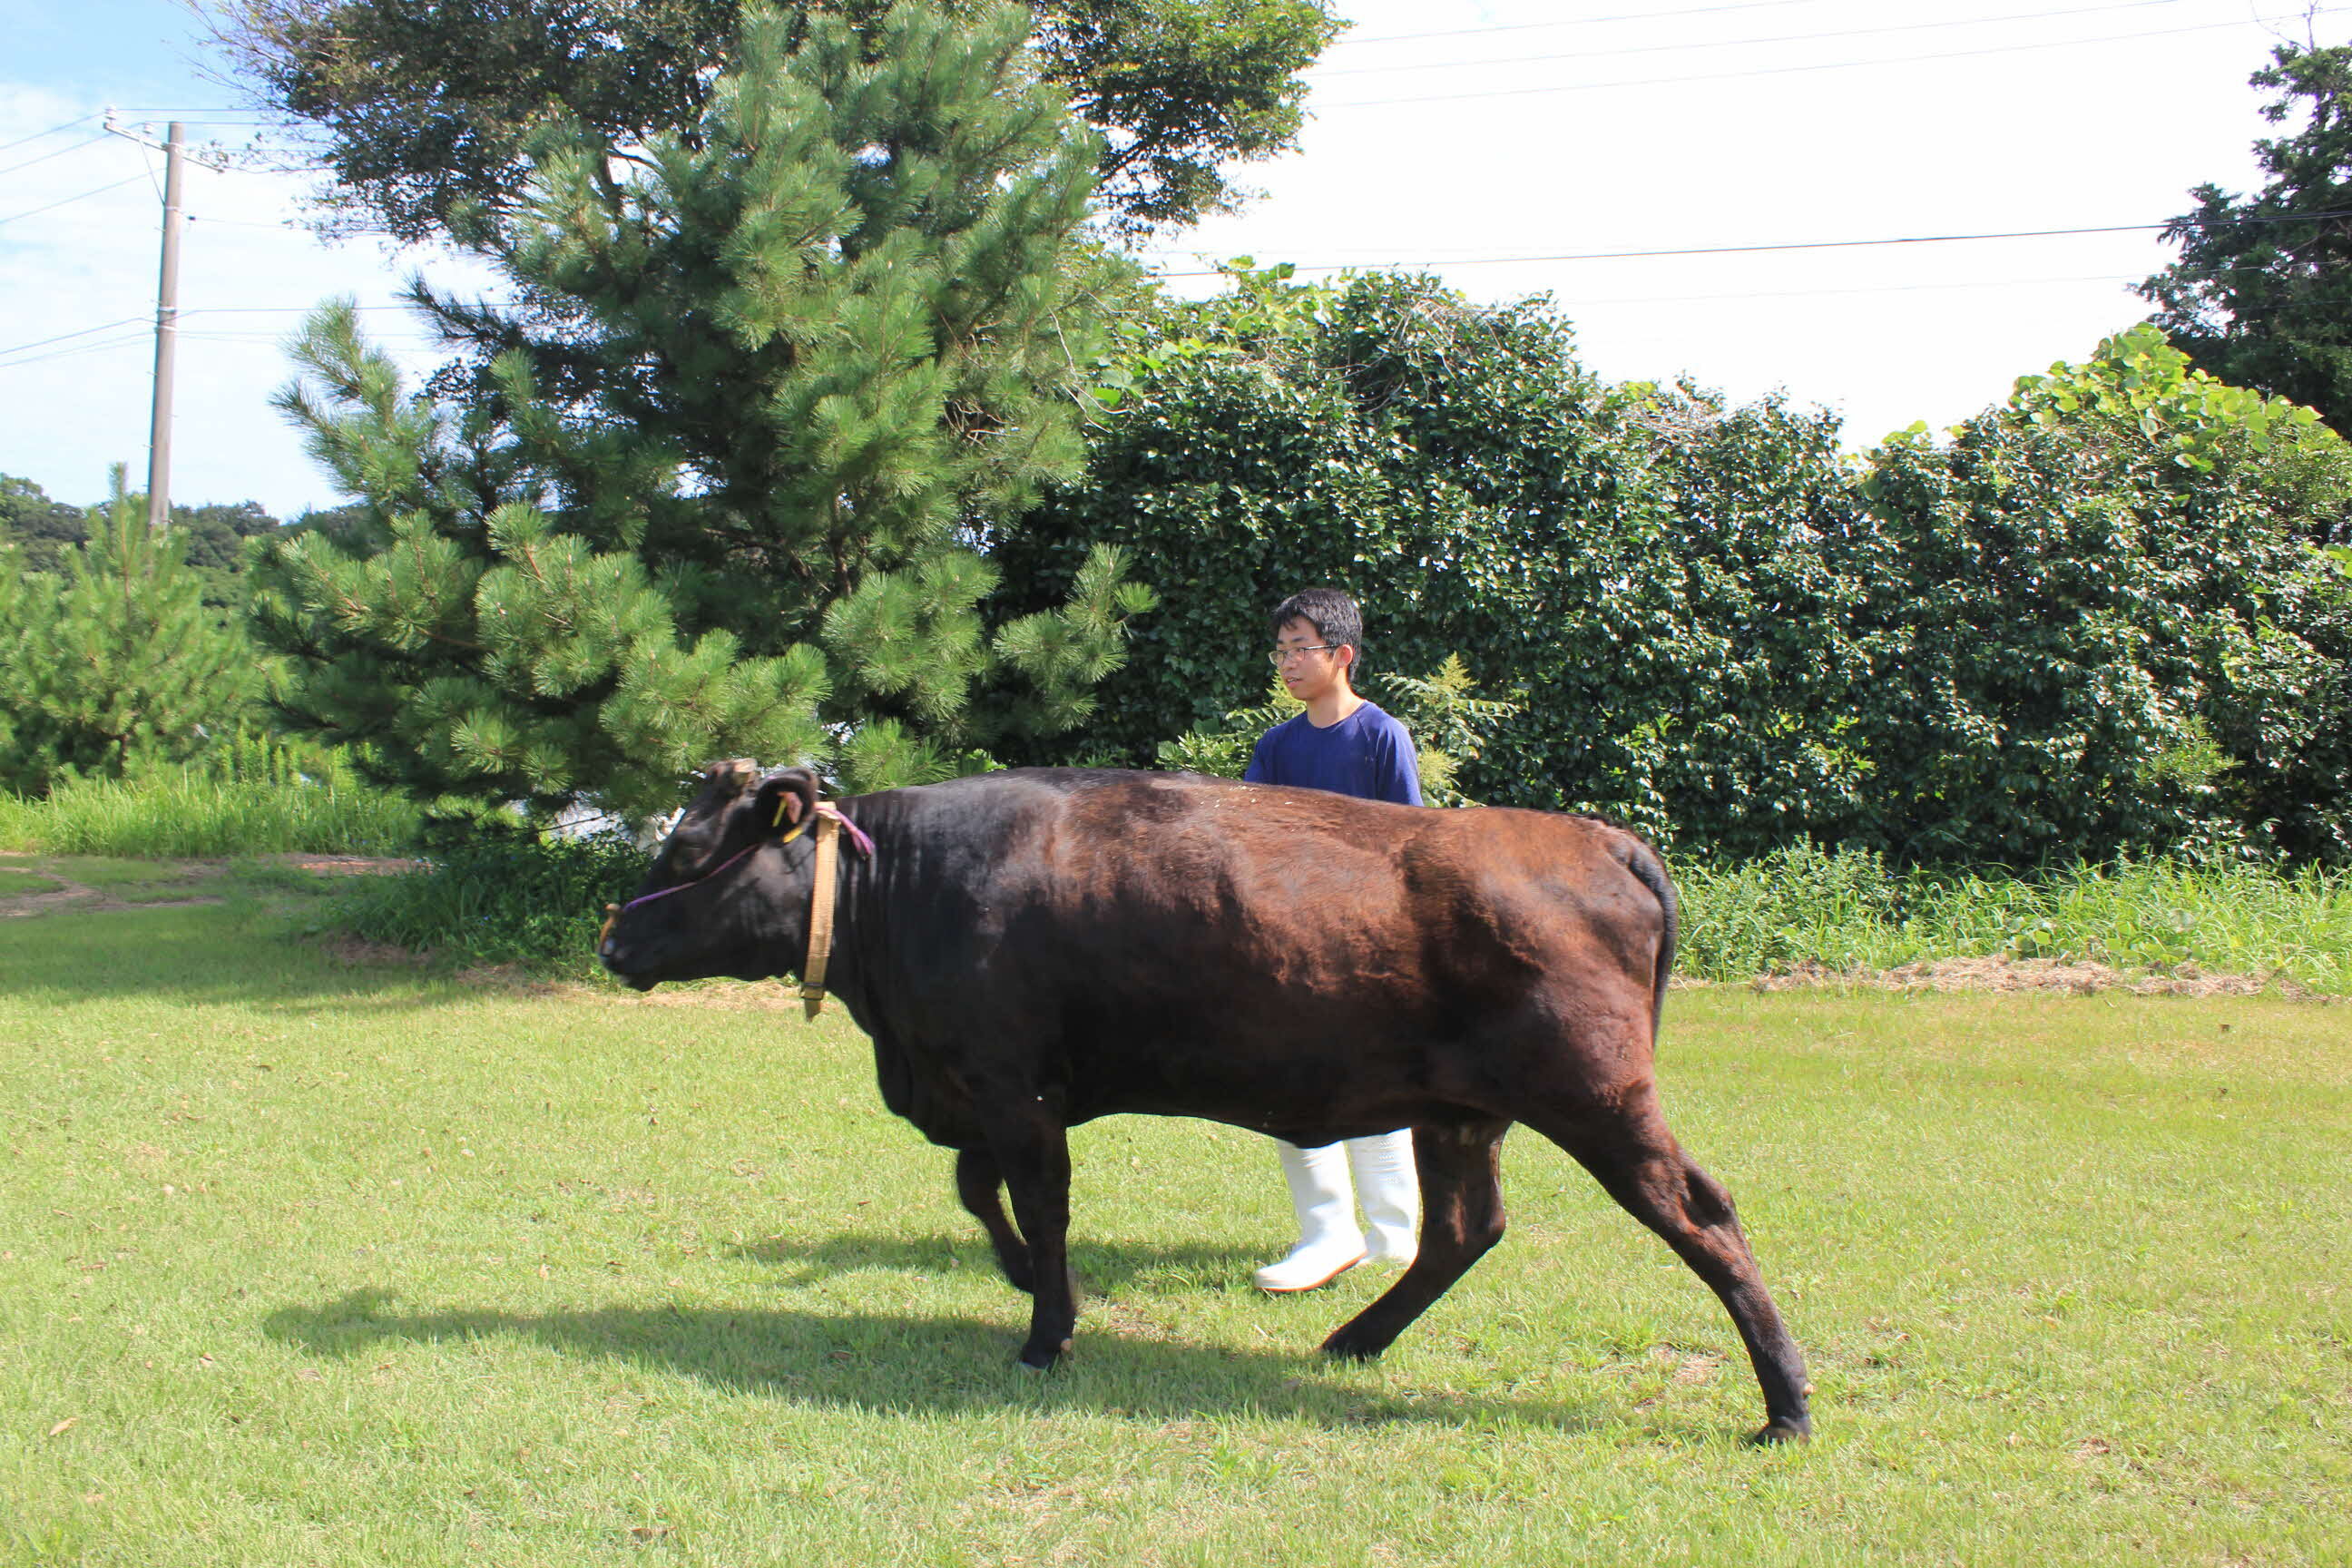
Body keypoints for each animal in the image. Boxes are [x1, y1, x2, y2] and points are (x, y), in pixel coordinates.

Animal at [597, 761, 1806, 1447]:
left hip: (1600, 1099)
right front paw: (1024, 1283)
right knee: (1465, 1229)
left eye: (687, 847)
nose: (611, 941)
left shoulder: (1013, 1085)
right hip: (1459, 1109)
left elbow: (1036, 1201)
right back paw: (1353, 1341)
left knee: (1702, 1216)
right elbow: (978, 1189)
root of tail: (1597, 835)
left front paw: (1047, 1330)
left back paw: (1785, 1405)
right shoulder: (981, 1091)